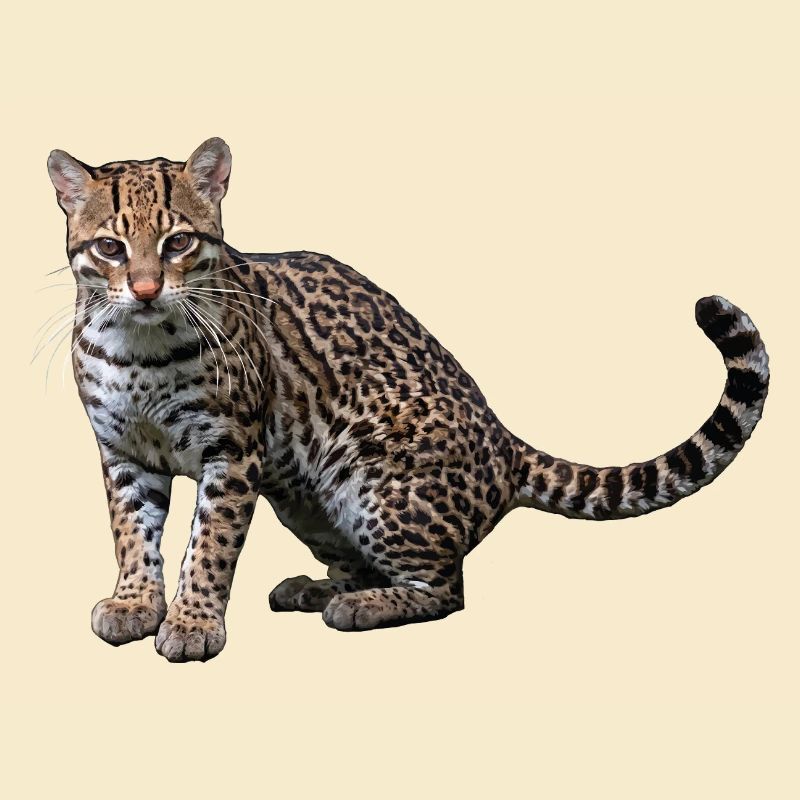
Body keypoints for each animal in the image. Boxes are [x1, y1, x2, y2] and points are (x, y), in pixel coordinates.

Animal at [45, 138, 770, 662]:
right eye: (110, 247)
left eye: (178, 243)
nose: (145, 289)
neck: (139, 347)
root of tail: (507, 443)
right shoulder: (121, 451)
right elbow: (132, 533)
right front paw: (135, 603)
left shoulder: (232, 450)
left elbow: (210, 545)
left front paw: (194, 621)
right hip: (306, 501)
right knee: (364, 565)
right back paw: (318, 588)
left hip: (370, 484)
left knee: (447, 588)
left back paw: (360, 607)